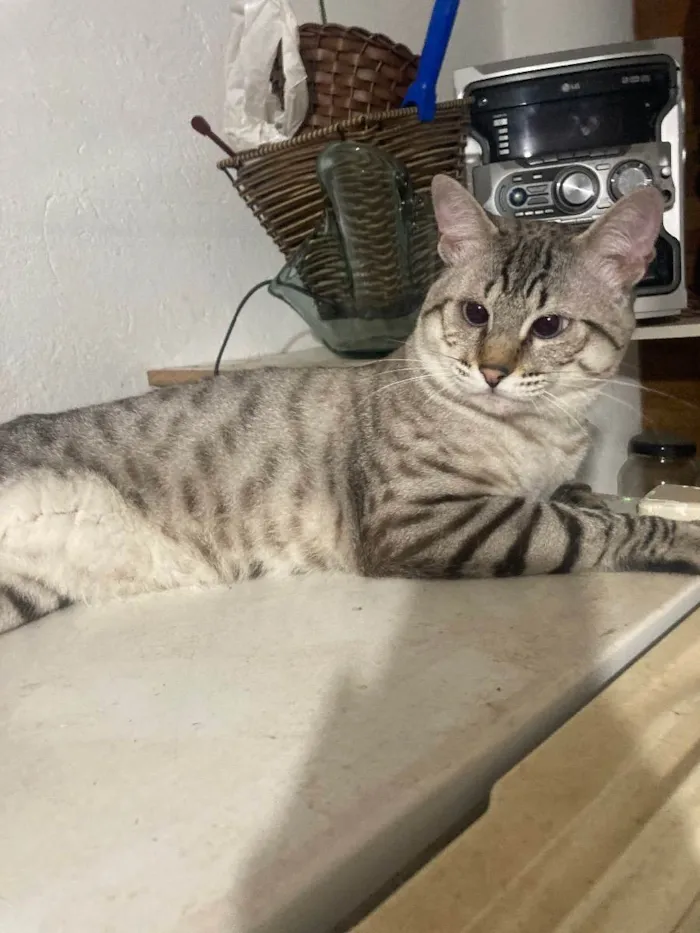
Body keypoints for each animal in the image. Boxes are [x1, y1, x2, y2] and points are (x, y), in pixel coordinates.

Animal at [0, 175, 696, 635]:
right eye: (475, 313)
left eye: (549, 326)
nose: (493, 372)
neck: (539, 434)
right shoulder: (424, 518)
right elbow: (590, 526)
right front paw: (678, 532)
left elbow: (582, 501)